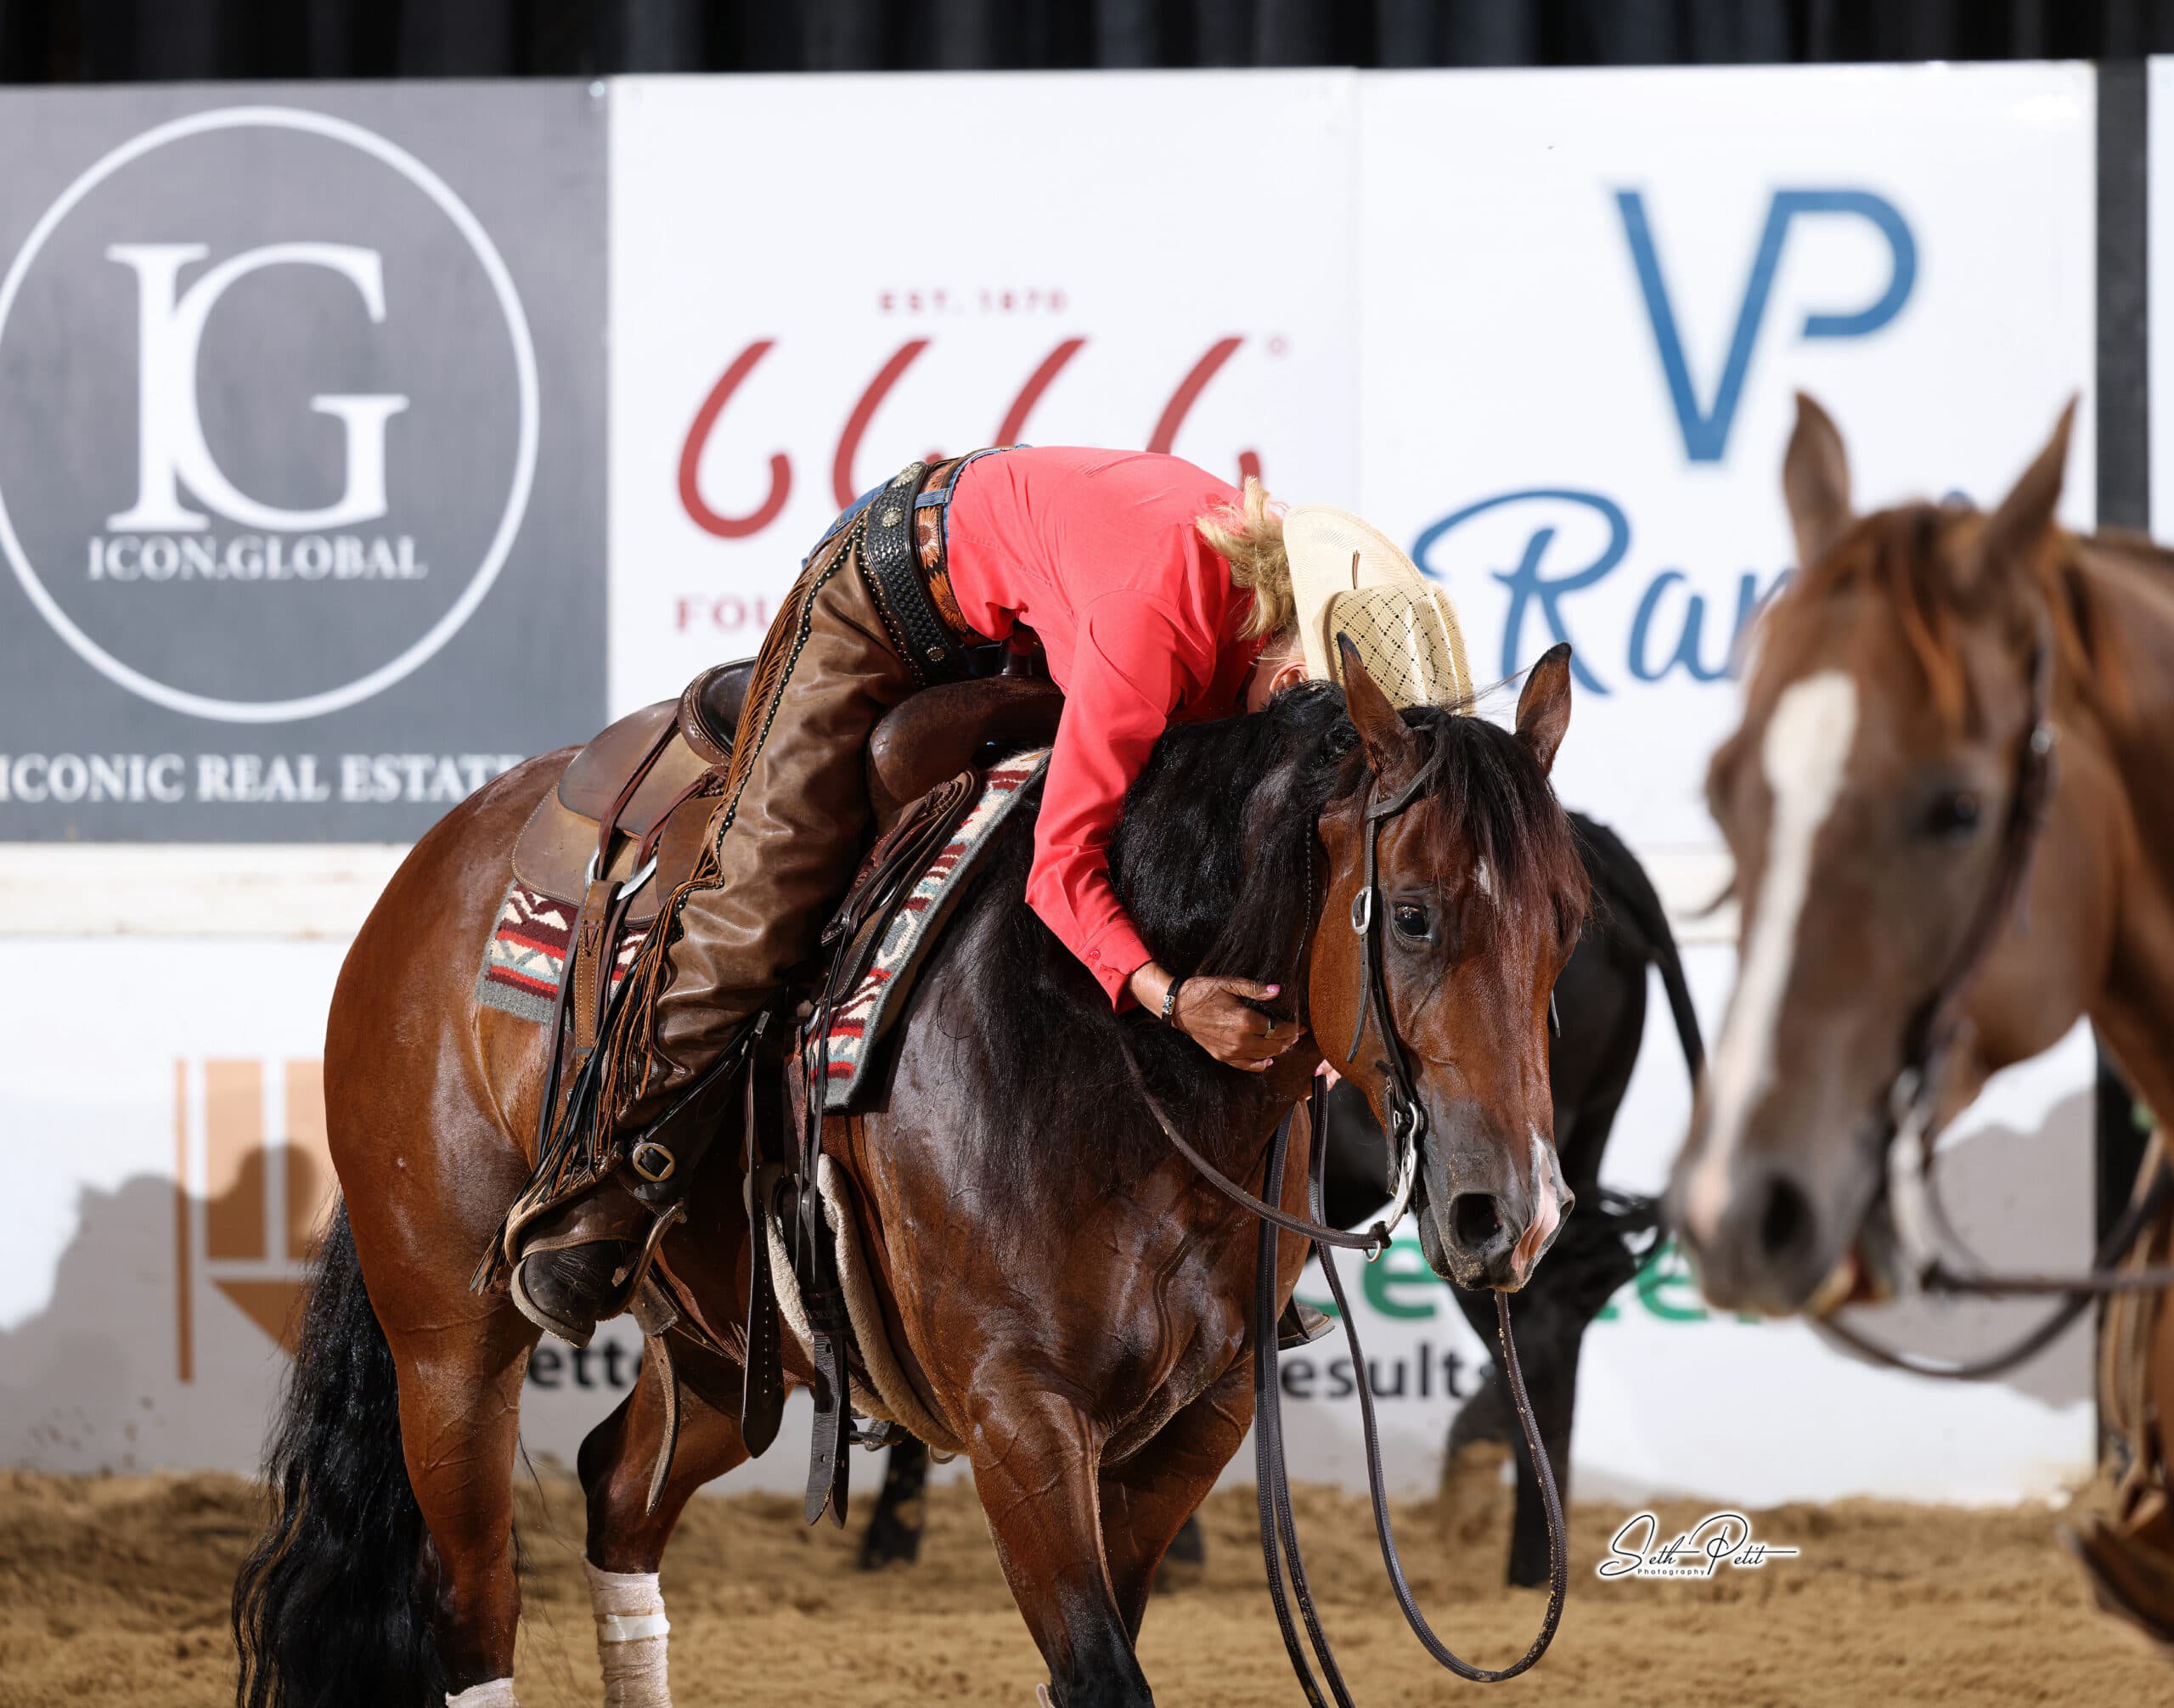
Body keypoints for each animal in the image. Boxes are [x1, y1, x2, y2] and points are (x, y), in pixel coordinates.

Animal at [233, 641, 1589, 1708]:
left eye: (1570, 922)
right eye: (1409, 913)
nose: (1510, 1214)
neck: (1120, 1058)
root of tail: (436, 864)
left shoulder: (1198, 1420)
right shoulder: (1018, 1414)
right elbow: (1101, 1672)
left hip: (723, 1351)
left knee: (618, 1493)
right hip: (449, 1343)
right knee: (473, 1601)